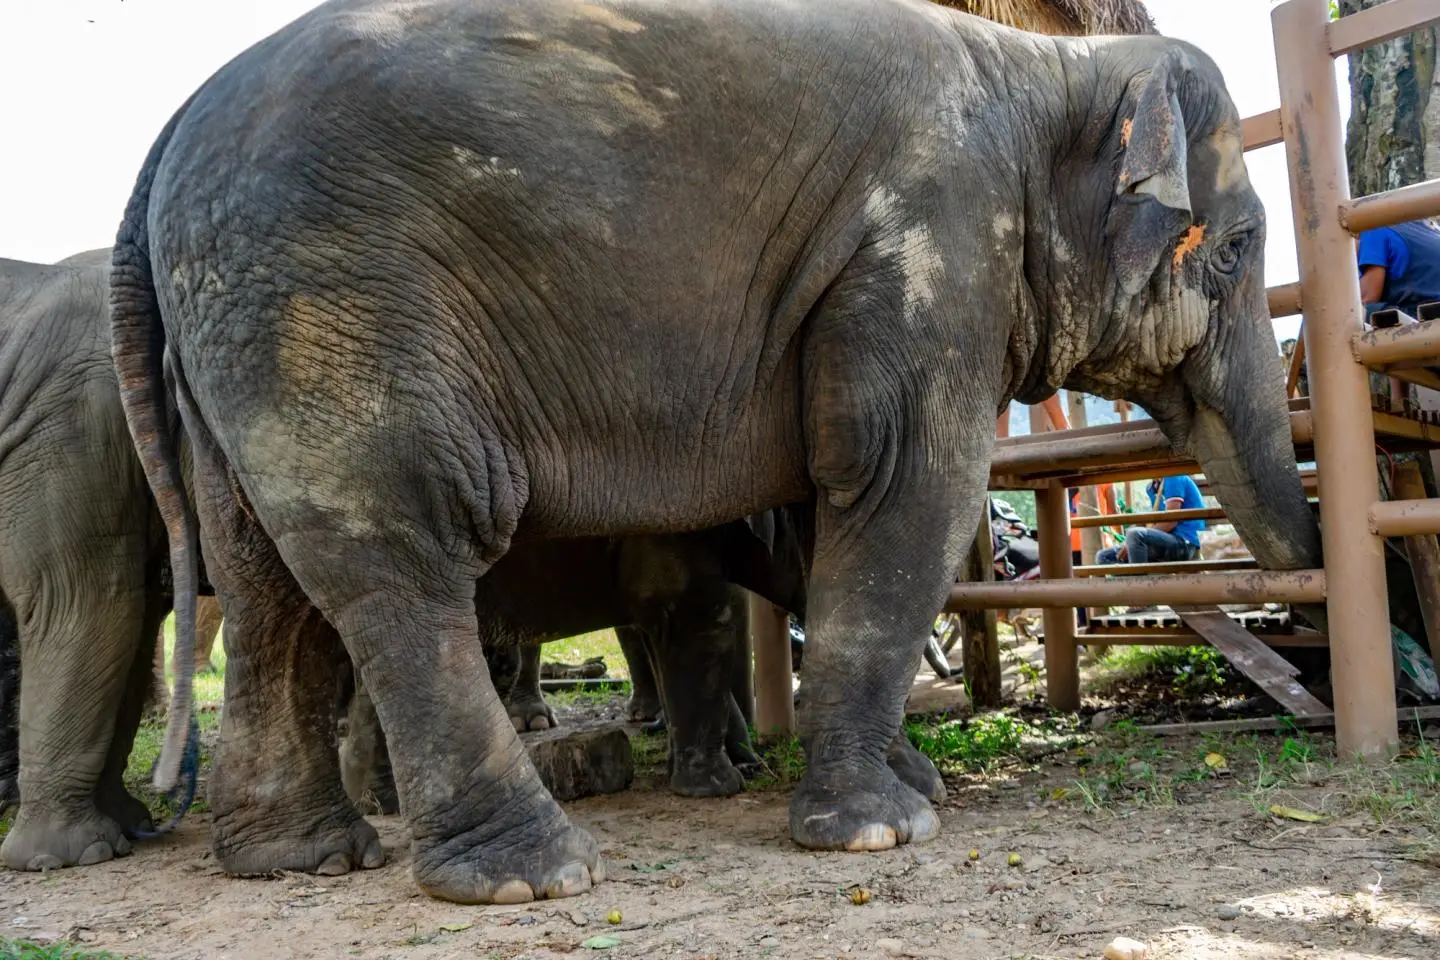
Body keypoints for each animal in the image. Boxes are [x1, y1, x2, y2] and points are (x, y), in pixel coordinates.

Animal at [113, 0, 1321, 904]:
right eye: (1240, 247)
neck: (1053, 67)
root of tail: (165, 136)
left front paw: (913, 785)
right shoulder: (932, 239)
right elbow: (903, 484)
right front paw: (878, 832)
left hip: (233, 338)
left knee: (264, 586)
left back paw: (300, 859)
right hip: (333, 308)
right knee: (405, 557)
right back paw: (528, 875)